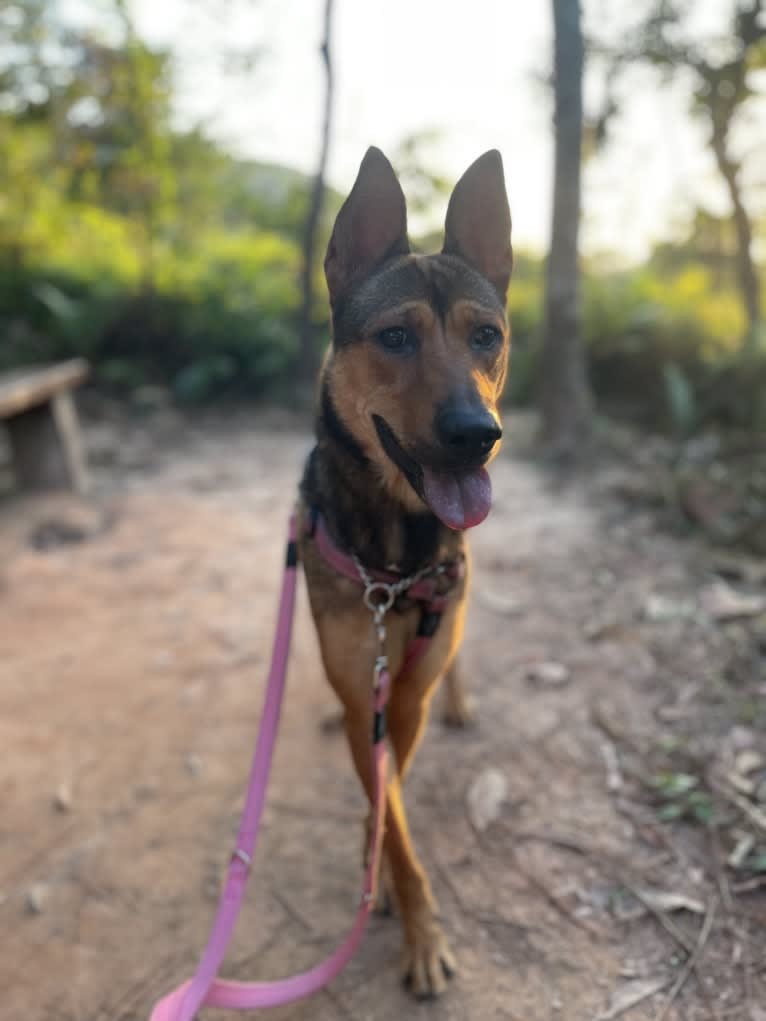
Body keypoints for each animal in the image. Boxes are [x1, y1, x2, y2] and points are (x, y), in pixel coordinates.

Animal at [296, 146, 512, 996]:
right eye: (393, 336)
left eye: (486, 335)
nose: (477, 433)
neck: (396, 552)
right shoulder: (367, 692)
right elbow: (387, 807)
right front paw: (400, 899)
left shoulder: (407, 692)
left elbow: (391, 800)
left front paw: (404, 907)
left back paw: (464, 698)